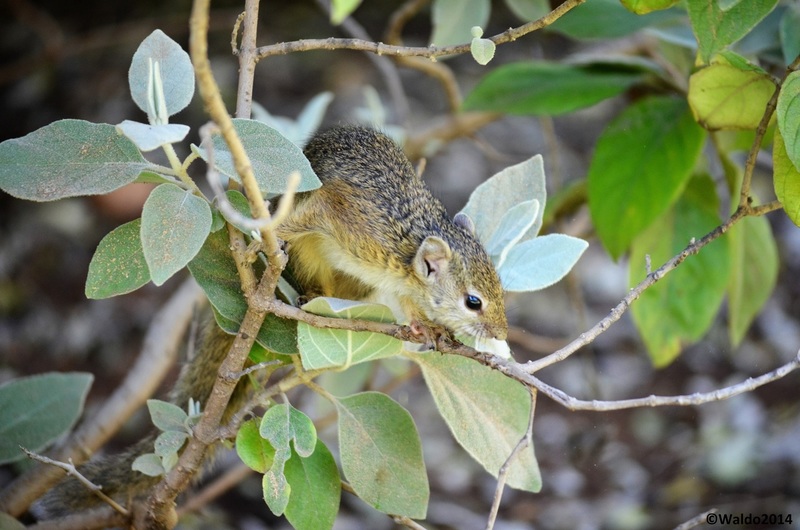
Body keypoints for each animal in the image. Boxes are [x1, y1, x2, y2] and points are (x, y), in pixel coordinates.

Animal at [35, 125, 507, 520]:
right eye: (473, 301)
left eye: (500, 288)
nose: (501, 333)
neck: (408, 247)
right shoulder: (351, 219)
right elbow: (310, 215)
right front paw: (268, 233)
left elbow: (411, 308)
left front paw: (429, 329)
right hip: (310, 259)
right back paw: (303, 289)